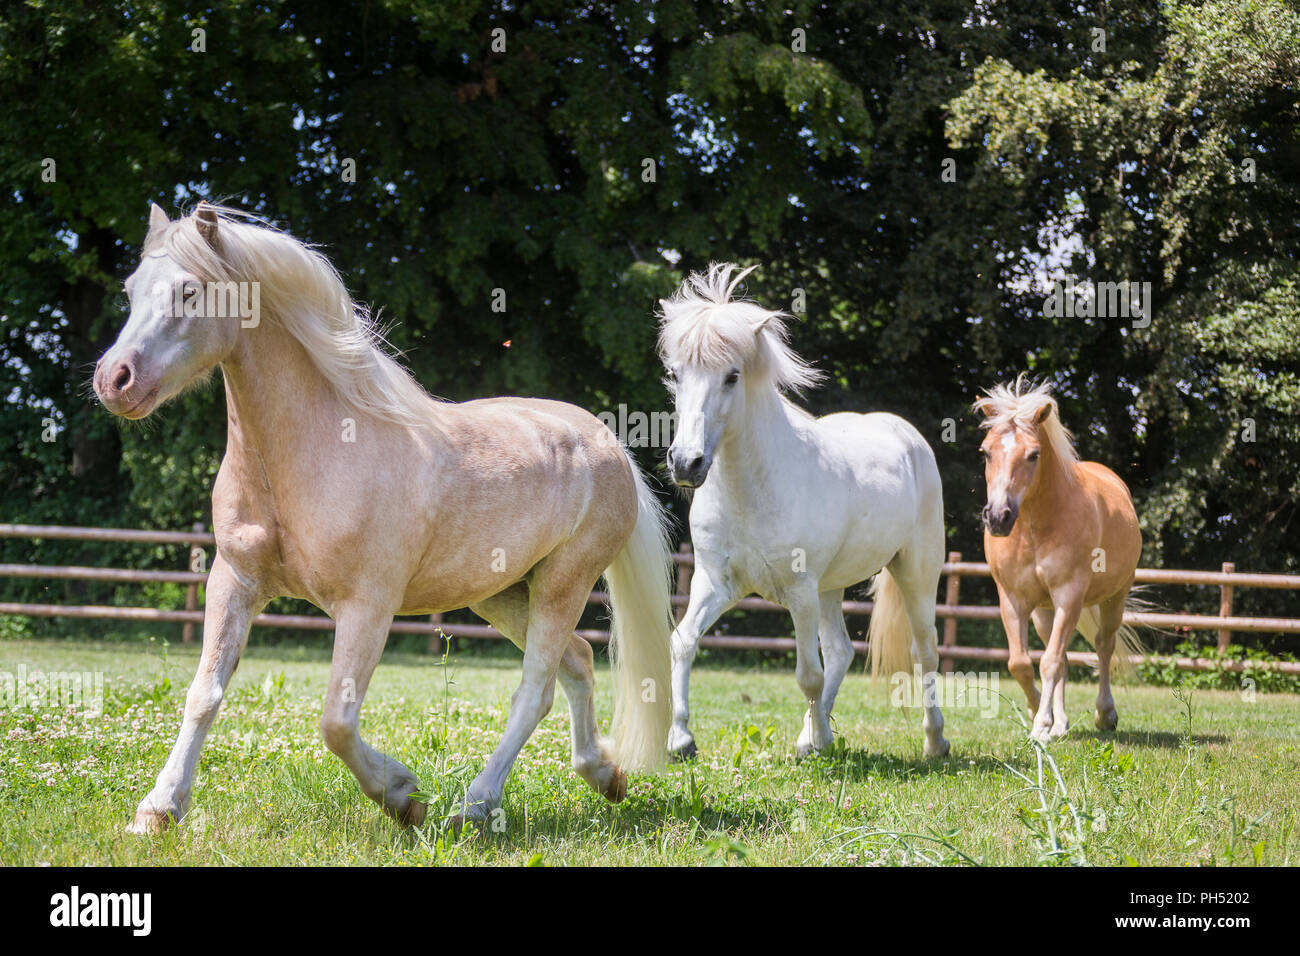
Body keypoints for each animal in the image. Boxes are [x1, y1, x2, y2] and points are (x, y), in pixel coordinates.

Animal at [96, 201, 676, 832]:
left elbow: (336, 721)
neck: (310, 452)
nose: (114, 380)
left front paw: (402, 796)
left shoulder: (367, 606)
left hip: (562, 584)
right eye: (130, 290)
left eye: (190, 291)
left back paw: (473, 807)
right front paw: (158, 810)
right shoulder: (234, 581)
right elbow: (204, 695)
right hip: (500, 593)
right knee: (578, 662)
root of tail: (605, 439)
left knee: (535, 689)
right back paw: (603, 776)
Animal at [660, 265, 956, 759]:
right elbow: (683, 642)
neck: (753, 488)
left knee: (925, 651)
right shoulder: (715, 582)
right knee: (841, 650)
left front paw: (817, 741)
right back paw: (813, 735)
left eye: (732, 376)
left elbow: (807, 675)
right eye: (676, 374)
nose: (687, 463)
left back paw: (934, 741)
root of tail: (906, 434)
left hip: (915, 572)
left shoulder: (799, 592)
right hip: (830, 587)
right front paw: (681, 738)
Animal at [972, 379, 1144, 738]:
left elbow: (1049, 662)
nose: (998, 517)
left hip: (1113, 599)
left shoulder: (1069, 595)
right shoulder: (1013, 600)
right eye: (985, 452)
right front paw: (1040, 711)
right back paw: (1061, 723)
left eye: (1033, 455)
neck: (1035, 527)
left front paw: (1040, 725)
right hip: (1043, 611)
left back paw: (1105, 714)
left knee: (1103, 646)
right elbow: (1021, 663)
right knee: (1063, 657)